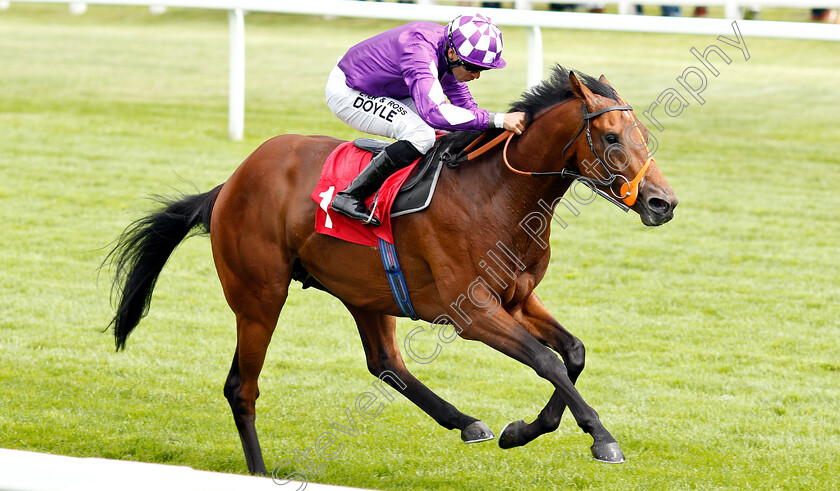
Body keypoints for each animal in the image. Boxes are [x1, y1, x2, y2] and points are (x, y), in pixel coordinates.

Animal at [108, 66, 680, 476]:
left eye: (642, 134)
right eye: (611, 137)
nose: (662, 203)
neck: (498, 194)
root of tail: (229, 184)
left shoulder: (518, 299)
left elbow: (574, 353)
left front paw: (523, 429)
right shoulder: (471, 312)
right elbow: (547, 361)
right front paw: (601, 438)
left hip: (366, 292)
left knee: (385, 362)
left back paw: (466, 422)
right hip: (259, 296)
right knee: (240, 388)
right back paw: (258, 470)